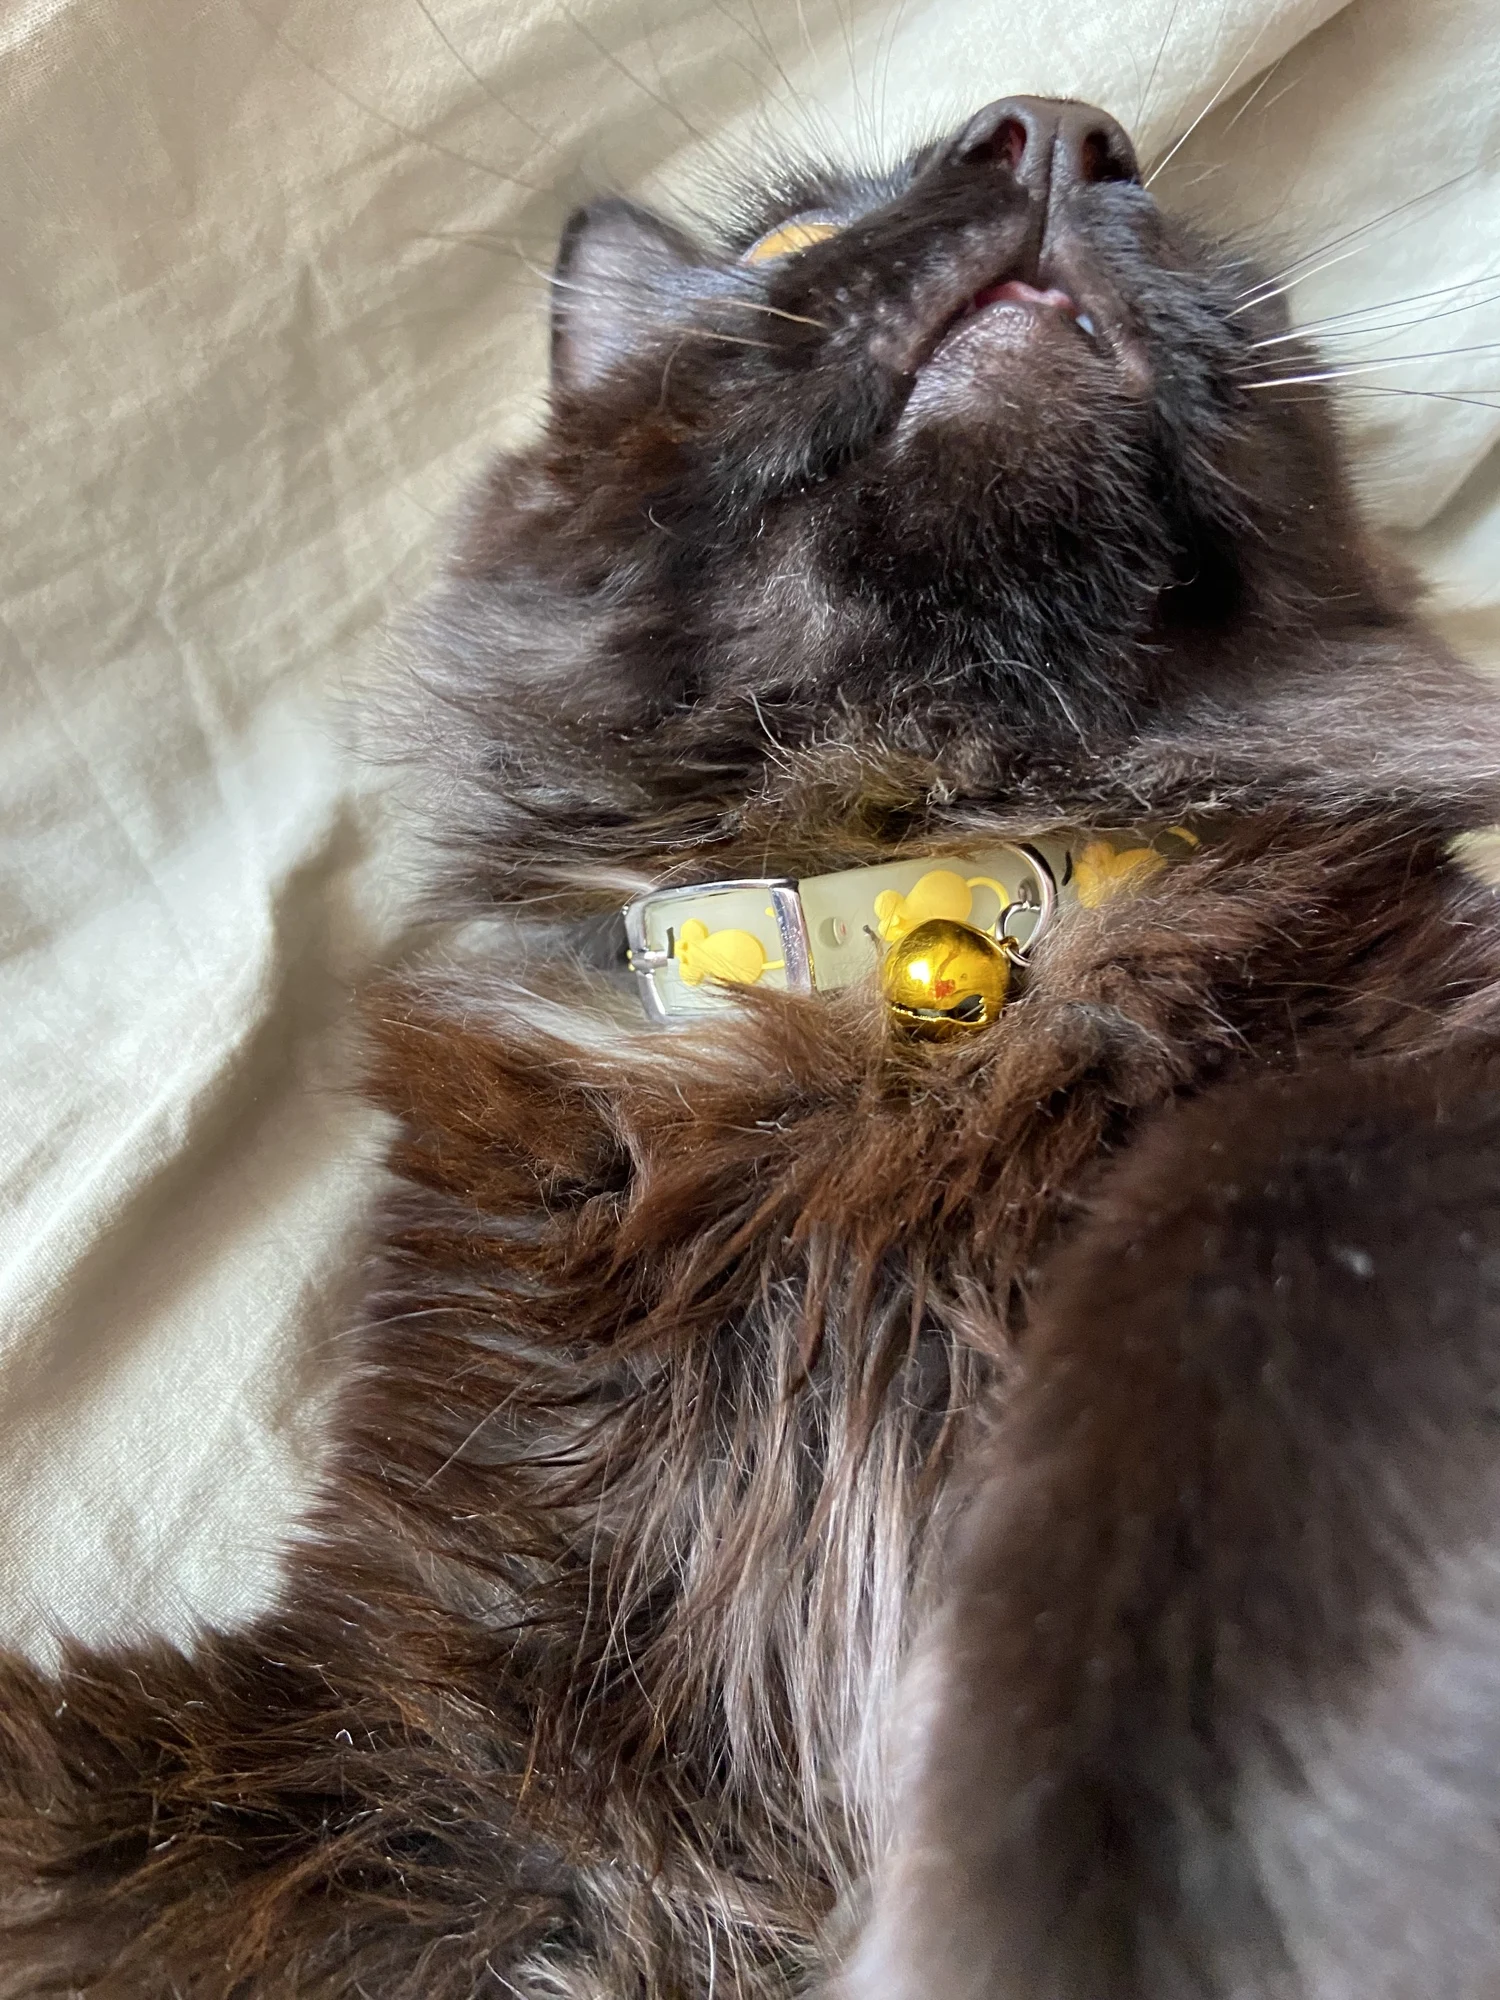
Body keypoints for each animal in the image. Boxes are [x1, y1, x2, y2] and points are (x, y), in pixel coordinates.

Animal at [5, 85, 1500, 2000]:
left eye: (1194, 253)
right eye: (789, 247)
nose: (1063, 130)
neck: (918, 930)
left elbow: (1237, 1216)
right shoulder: (426, 1753)